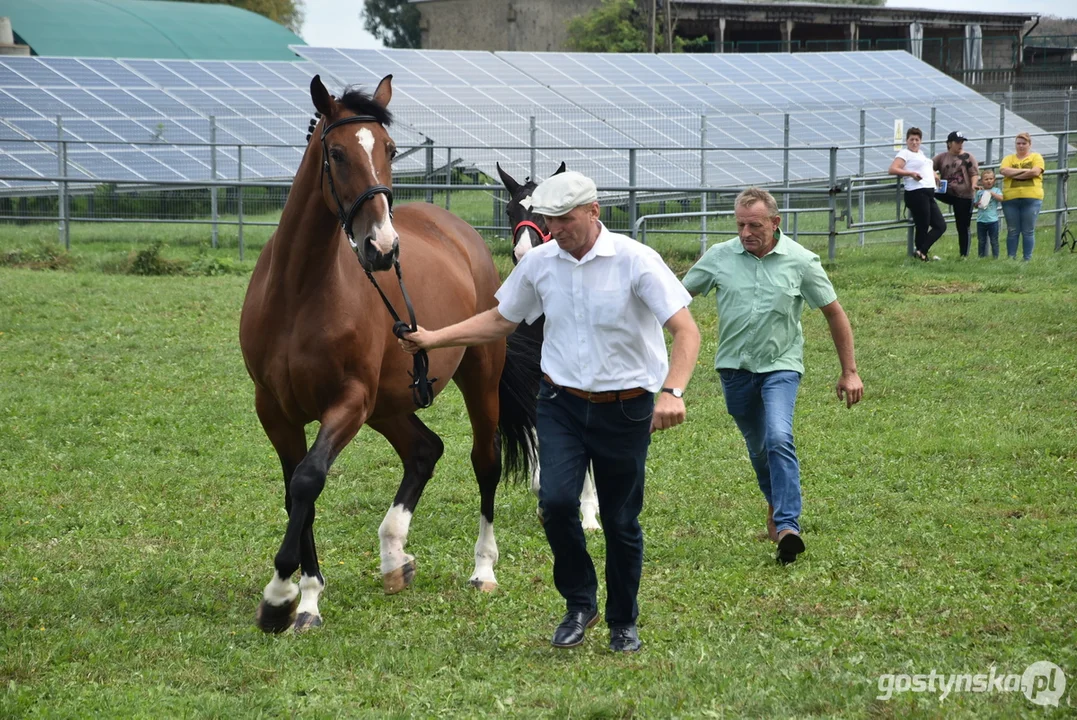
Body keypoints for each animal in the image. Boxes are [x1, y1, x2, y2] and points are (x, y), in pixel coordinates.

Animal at [239, 75, 534, 632]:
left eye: (391, 150)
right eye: (335, 153)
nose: (382, 247)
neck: (298, 293)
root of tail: (455, 229)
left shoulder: (348, 402)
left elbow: (309, 480)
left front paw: (283, 597)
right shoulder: (275, 410)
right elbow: (296, 491)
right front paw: (305, 595)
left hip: (476, 379)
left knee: (483, 461)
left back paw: (482, 570)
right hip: (389, 404)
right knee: (424, 450)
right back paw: (395, 556)